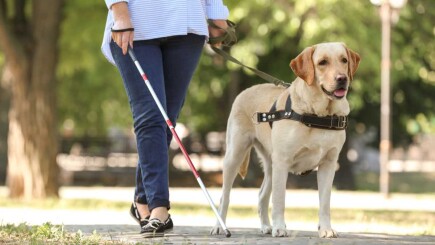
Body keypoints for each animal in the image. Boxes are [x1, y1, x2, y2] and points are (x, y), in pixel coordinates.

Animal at [211, 42, 362, 237]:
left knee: (261, 195)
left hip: (270, 164)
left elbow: (325, 202)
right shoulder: (283, 161)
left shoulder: (328, 164)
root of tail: (245, 90)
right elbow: (279, 200)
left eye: (344, 60)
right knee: (225, 196)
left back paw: (266, 226)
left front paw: (326, 229)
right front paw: (280, 228)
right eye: (322, 62)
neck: (317, 115)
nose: (342, 78)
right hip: (235, 155)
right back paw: (219, 226)